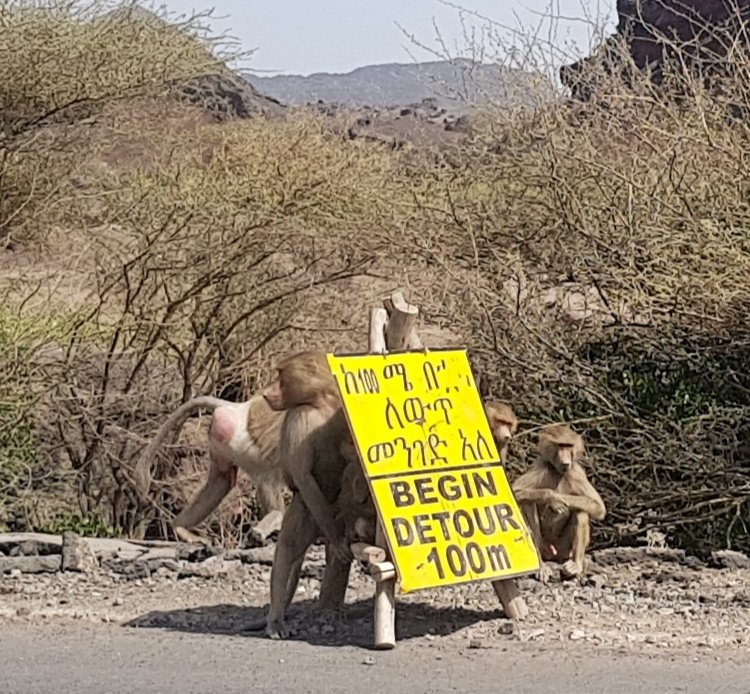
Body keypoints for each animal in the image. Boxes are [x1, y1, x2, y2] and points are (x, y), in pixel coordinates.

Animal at [133, 394, 287, 545]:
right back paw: (272, 519)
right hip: (251, 447)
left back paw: (179, 527)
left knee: (221, 481)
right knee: (267, 477)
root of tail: (240, 408)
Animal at [261, 350, 354, 639]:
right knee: (287, 551)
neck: (322, 402)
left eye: (280, 374)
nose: (265, 395)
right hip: (306, 509)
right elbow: (303, 476)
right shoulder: (299, 418)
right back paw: (276, 621)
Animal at [511, 424, 605, 582]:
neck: (557, 471)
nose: (566, 461)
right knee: (528, 503)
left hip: (564, 550)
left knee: (581, 511)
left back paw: (575, 564)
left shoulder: (576, 472)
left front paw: (555, 503)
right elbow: (515, 491)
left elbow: (598, 506)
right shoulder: (541, 466)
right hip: (545, 547)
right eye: (561, 446)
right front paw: (553, 499)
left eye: (569, 446)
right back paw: (541, 566)